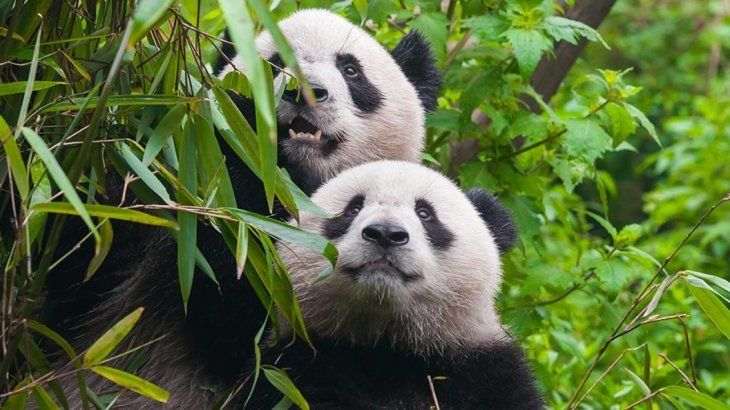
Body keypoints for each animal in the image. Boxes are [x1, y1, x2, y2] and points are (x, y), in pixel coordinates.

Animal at [245, 161, 543, 409]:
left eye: (425, 213)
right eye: (353, 209)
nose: (385, 233)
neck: (390, 344)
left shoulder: (487, 372)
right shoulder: (297, 365)